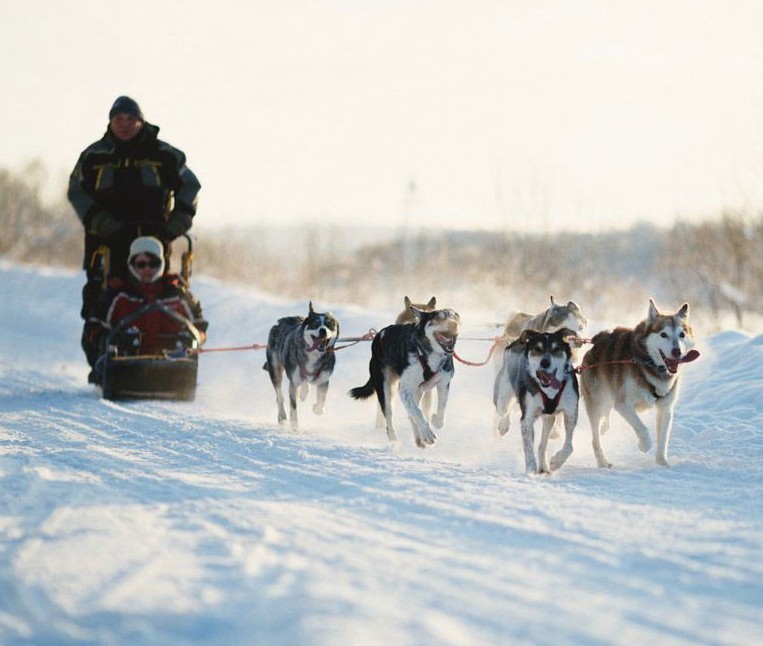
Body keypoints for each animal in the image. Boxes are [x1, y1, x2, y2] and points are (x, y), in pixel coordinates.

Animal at [266, 302, 344, 430]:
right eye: (315, 324)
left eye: (330, 325)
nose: (323, 330)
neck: (313, 355)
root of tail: (280, 322)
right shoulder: (293, 382)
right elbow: (293, 407)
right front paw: (294, 425)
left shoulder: (324, 380)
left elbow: (321, 402)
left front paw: (317, 408)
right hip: (275, 369)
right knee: (280, 396)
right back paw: (282, 415)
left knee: (304, 385)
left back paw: (304, 392)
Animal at [350, 308, 460, 450]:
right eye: (438, 318)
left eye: (456, 317)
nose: (454, 324)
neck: (428, 356)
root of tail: (379, 335)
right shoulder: (405, 389)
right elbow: (418, 412)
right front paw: (428, 434)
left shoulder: (443, 383)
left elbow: (440, 413)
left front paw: (435, 420)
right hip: (386, 390)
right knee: (390, 418)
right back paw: (396, 443)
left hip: (418, 391)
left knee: (410, 414)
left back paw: (419, 439)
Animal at [496, 332, 580, 474]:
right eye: (537, 349)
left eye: (556, 349)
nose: (545, 362)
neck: (549, 390)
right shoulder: (527, 418)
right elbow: (528, 448)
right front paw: (531, 469)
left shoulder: (571, 413)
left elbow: (569, 446)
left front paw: (556, 462)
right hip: (502, 398)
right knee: (504, 411)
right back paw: (503, 425)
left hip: (549, 418)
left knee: (542, 444)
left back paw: (543, 466)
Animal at [580, 302, 700, 468]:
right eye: (663, 334)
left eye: (682, 334)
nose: (677, 351)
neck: (651, 367)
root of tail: (597, 341)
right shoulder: (623, 405)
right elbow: (642, 429)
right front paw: (644, 445)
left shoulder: (665, 409)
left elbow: (663, 441)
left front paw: (662, 463)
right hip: (598, 401)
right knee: (595, 439)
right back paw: (602, 461)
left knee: (605, 420)